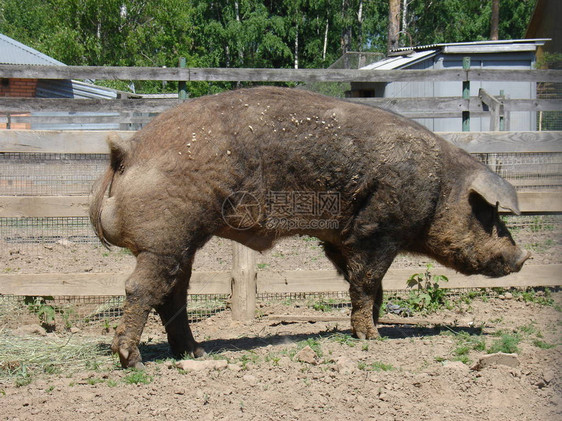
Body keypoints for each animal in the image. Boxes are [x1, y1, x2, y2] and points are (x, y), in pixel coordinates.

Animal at [89, 86, 528, 368]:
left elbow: (367, 286)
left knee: (172, 293)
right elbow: (368, 282)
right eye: (489, 215)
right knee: (140, 288)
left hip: (182, 242)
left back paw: (194, 354)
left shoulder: (340, 239)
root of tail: (126, 151)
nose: (523, 255)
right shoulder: (377, 231)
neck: (439, 187)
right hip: (164, 238)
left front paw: (373, 327)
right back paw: (133, 362)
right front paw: (373, 339)